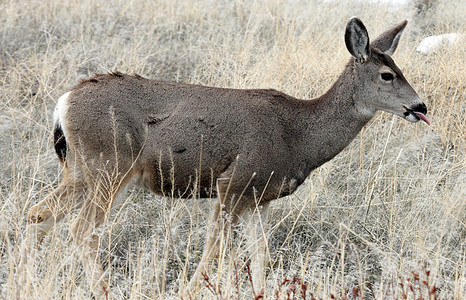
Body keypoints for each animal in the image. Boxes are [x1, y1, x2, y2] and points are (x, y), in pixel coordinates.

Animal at [28, 17, 430, 296]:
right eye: (387, 74)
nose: (420, 106)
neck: (297, 134)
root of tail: (64, 102)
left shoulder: (258, 198)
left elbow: (260, 257)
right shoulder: (232, 183)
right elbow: (214, 253)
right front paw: (189, 292)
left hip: (82, 171)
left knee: (38, 214)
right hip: (109, 166)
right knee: (82, 230)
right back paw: (103, 291)